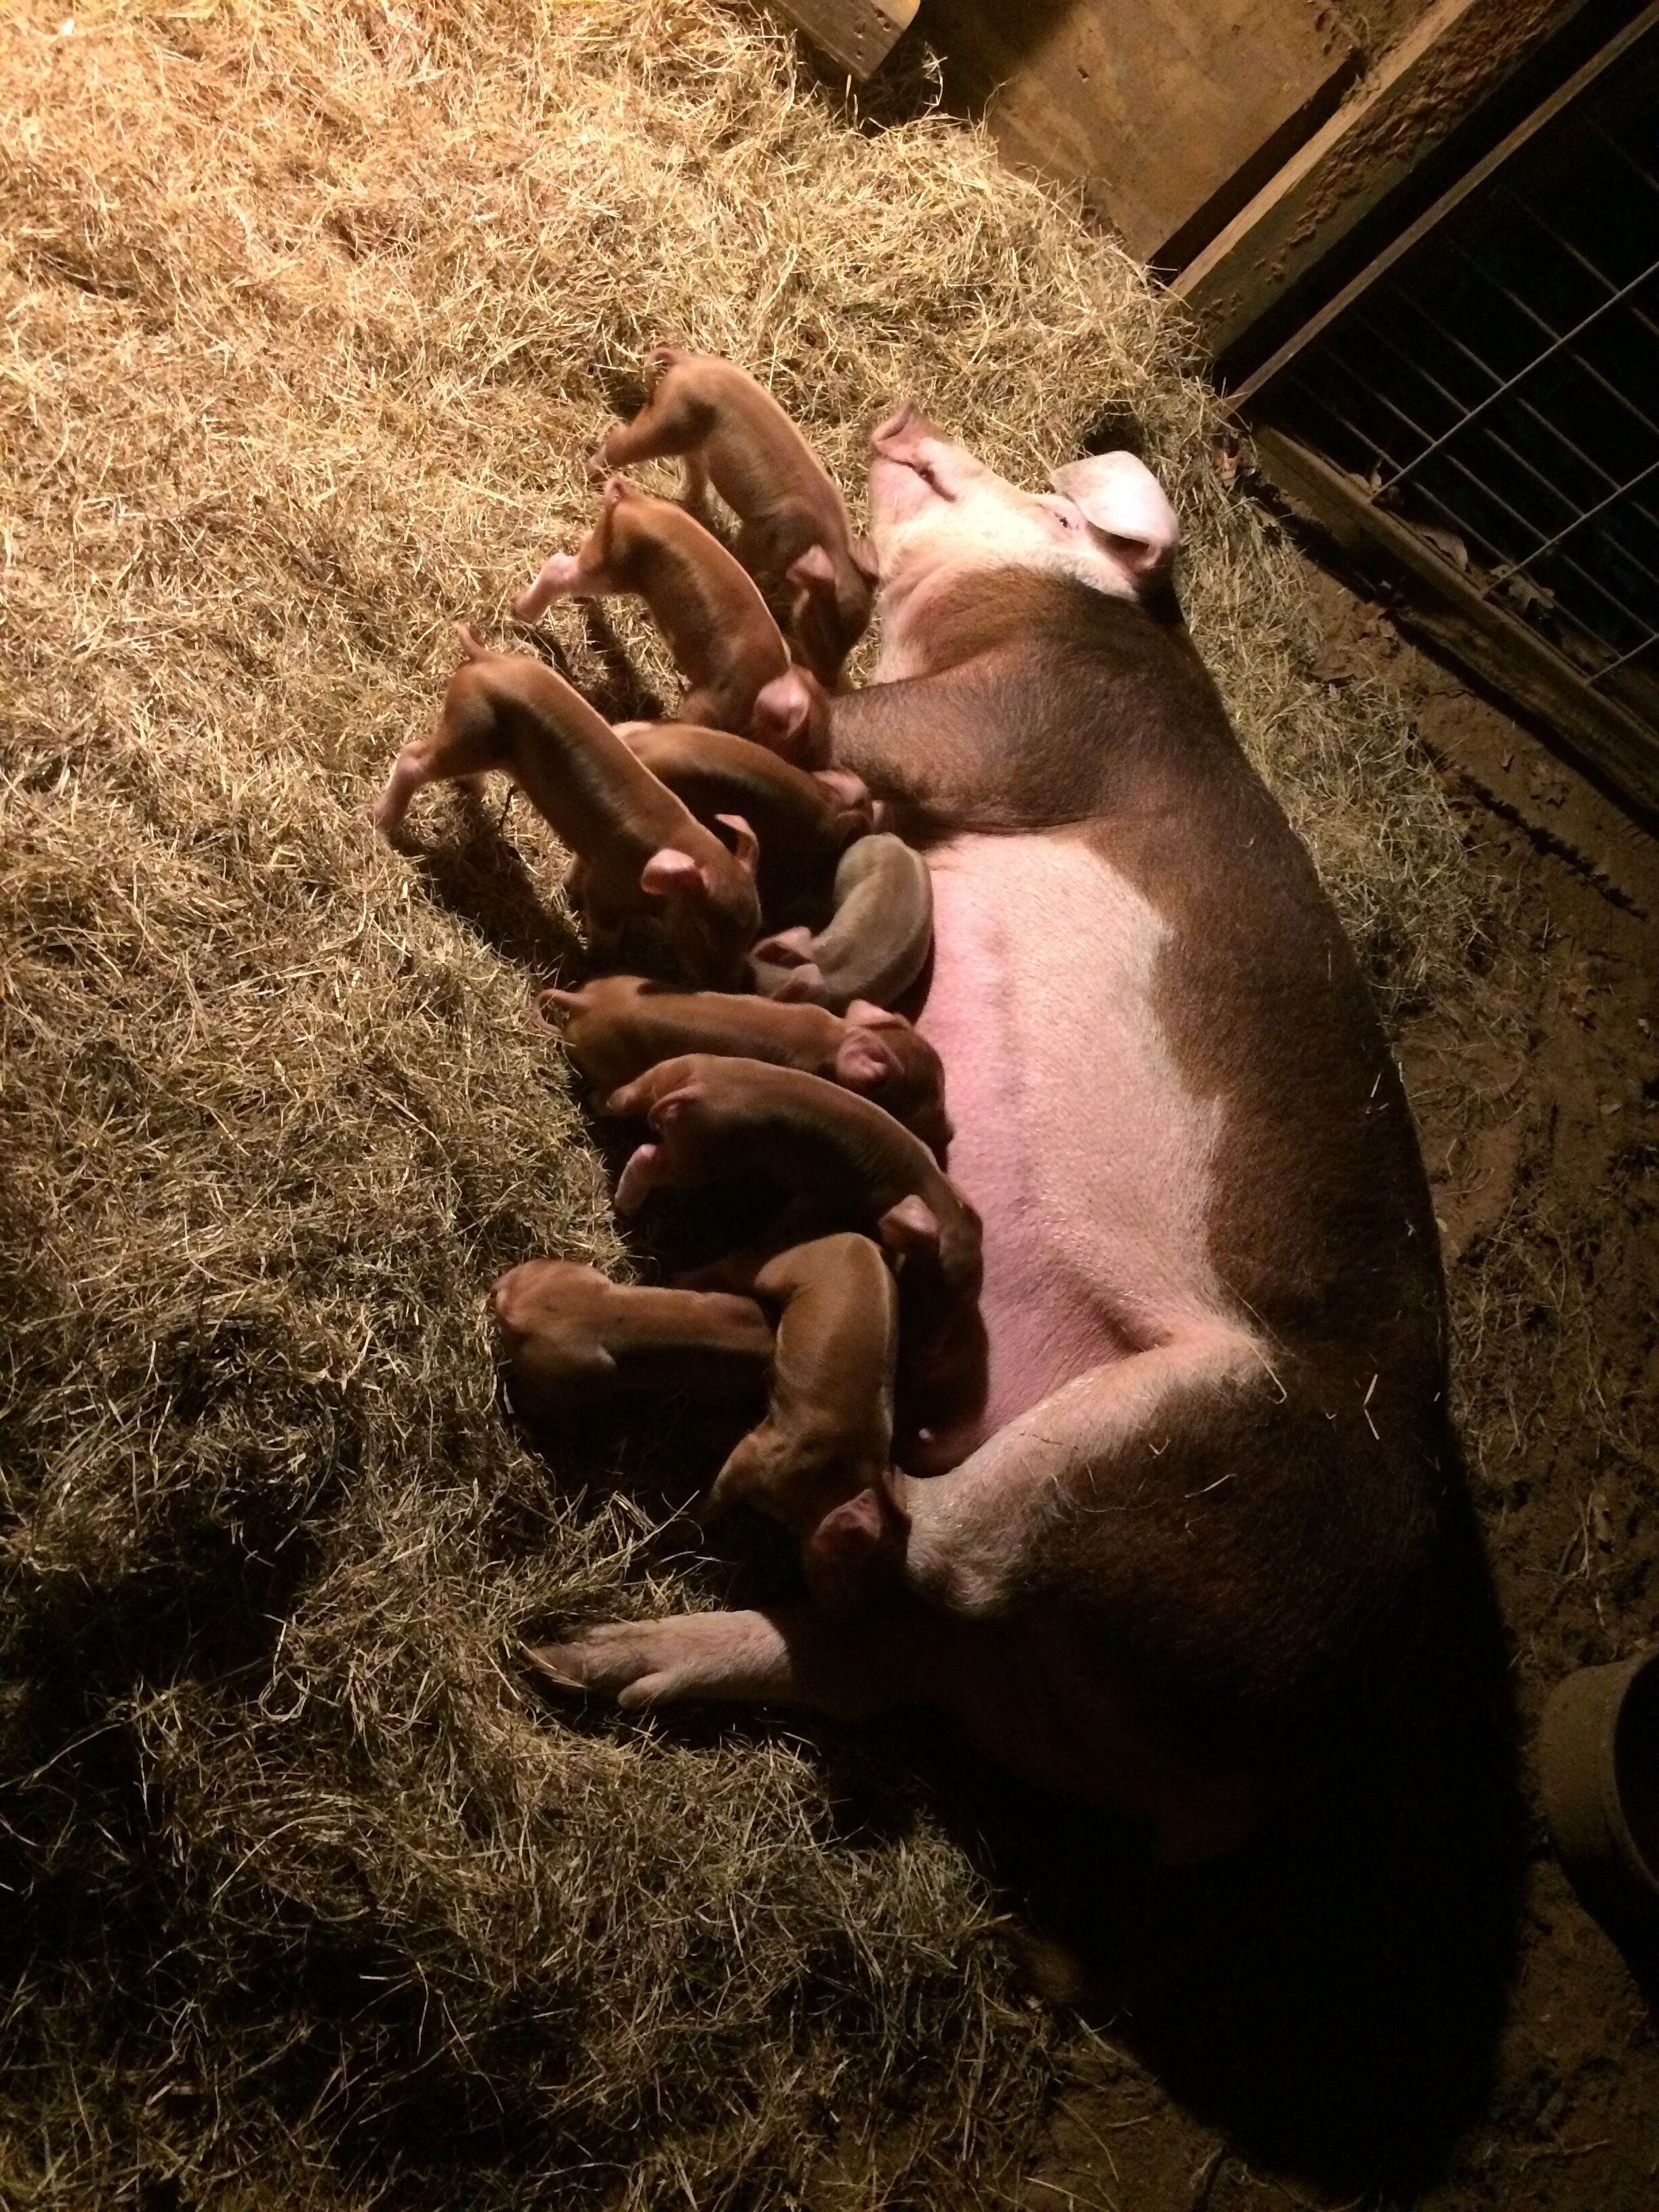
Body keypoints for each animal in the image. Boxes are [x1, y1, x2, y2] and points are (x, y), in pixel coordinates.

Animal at [374, 630, 760, 989]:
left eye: (751, 933)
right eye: (704, 930)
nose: (730, 986)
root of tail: (488, 658)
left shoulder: (593, 859)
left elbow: (577, 874)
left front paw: (568, 892)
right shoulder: (608, 890)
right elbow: (603, 932)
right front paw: (600, 963)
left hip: (476, 741)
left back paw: (471, 788)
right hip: (469, 730)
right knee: (411, 758)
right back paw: (383, 823)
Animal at [513, 475, 830, 766]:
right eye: (797, 749)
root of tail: (634, 499)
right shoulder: (706, 704)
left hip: (603, 553)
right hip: (613, 567)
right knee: (558, 567)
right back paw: (519, 614)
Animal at [592, 347, 877, 687]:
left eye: (854, 640)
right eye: (823, 627)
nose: (830, 680)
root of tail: (689, 363)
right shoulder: (760, 534)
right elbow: (744, 557)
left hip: (688, 438)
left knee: (691, 467)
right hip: (666, 425)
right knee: (619, 439)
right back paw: (589, 472)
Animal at [696, 1233, 908, 1613]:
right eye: (849, 1581)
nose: (837, 1614)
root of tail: (859, 1239)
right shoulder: (758, 1453)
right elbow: (717, 1496)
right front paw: (689, 1525)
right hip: (782, 1267)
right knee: (736, 1266)